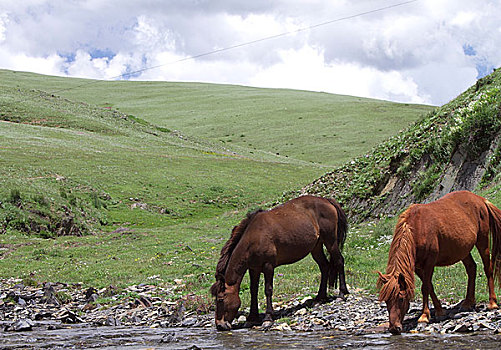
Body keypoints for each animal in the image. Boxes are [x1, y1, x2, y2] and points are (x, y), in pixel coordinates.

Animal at [210, 196, 348, 332]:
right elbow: (253, 291)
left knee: (339, 261)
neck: (254, 237)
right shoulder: (254, 269)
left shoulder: (268, 266)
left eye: (220, 299)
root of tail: (327, 200)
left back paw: (342, 294)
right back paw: (320, 298)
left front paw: (268, 318)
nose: (219, 325)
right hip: (316, 247)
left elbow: (268, 290)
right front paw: (252, 318)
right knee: (324, 267)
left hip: (331, 241)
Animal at [376, 190, 500, 334]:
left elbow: (425, 288)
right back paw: (468, 302)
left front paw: (424, 316)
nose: (394, 328)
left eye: (401, 299)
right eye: (386, 301)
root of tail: (480, 199)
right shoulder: (417, 267)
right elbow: (430, 286)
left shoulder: (429, 263)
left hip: (482, 240)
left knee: (487, 268)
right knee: (471, 268)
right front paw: (440, 311)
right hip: (462, 250)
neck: (417, 228)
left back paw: (492, 303)